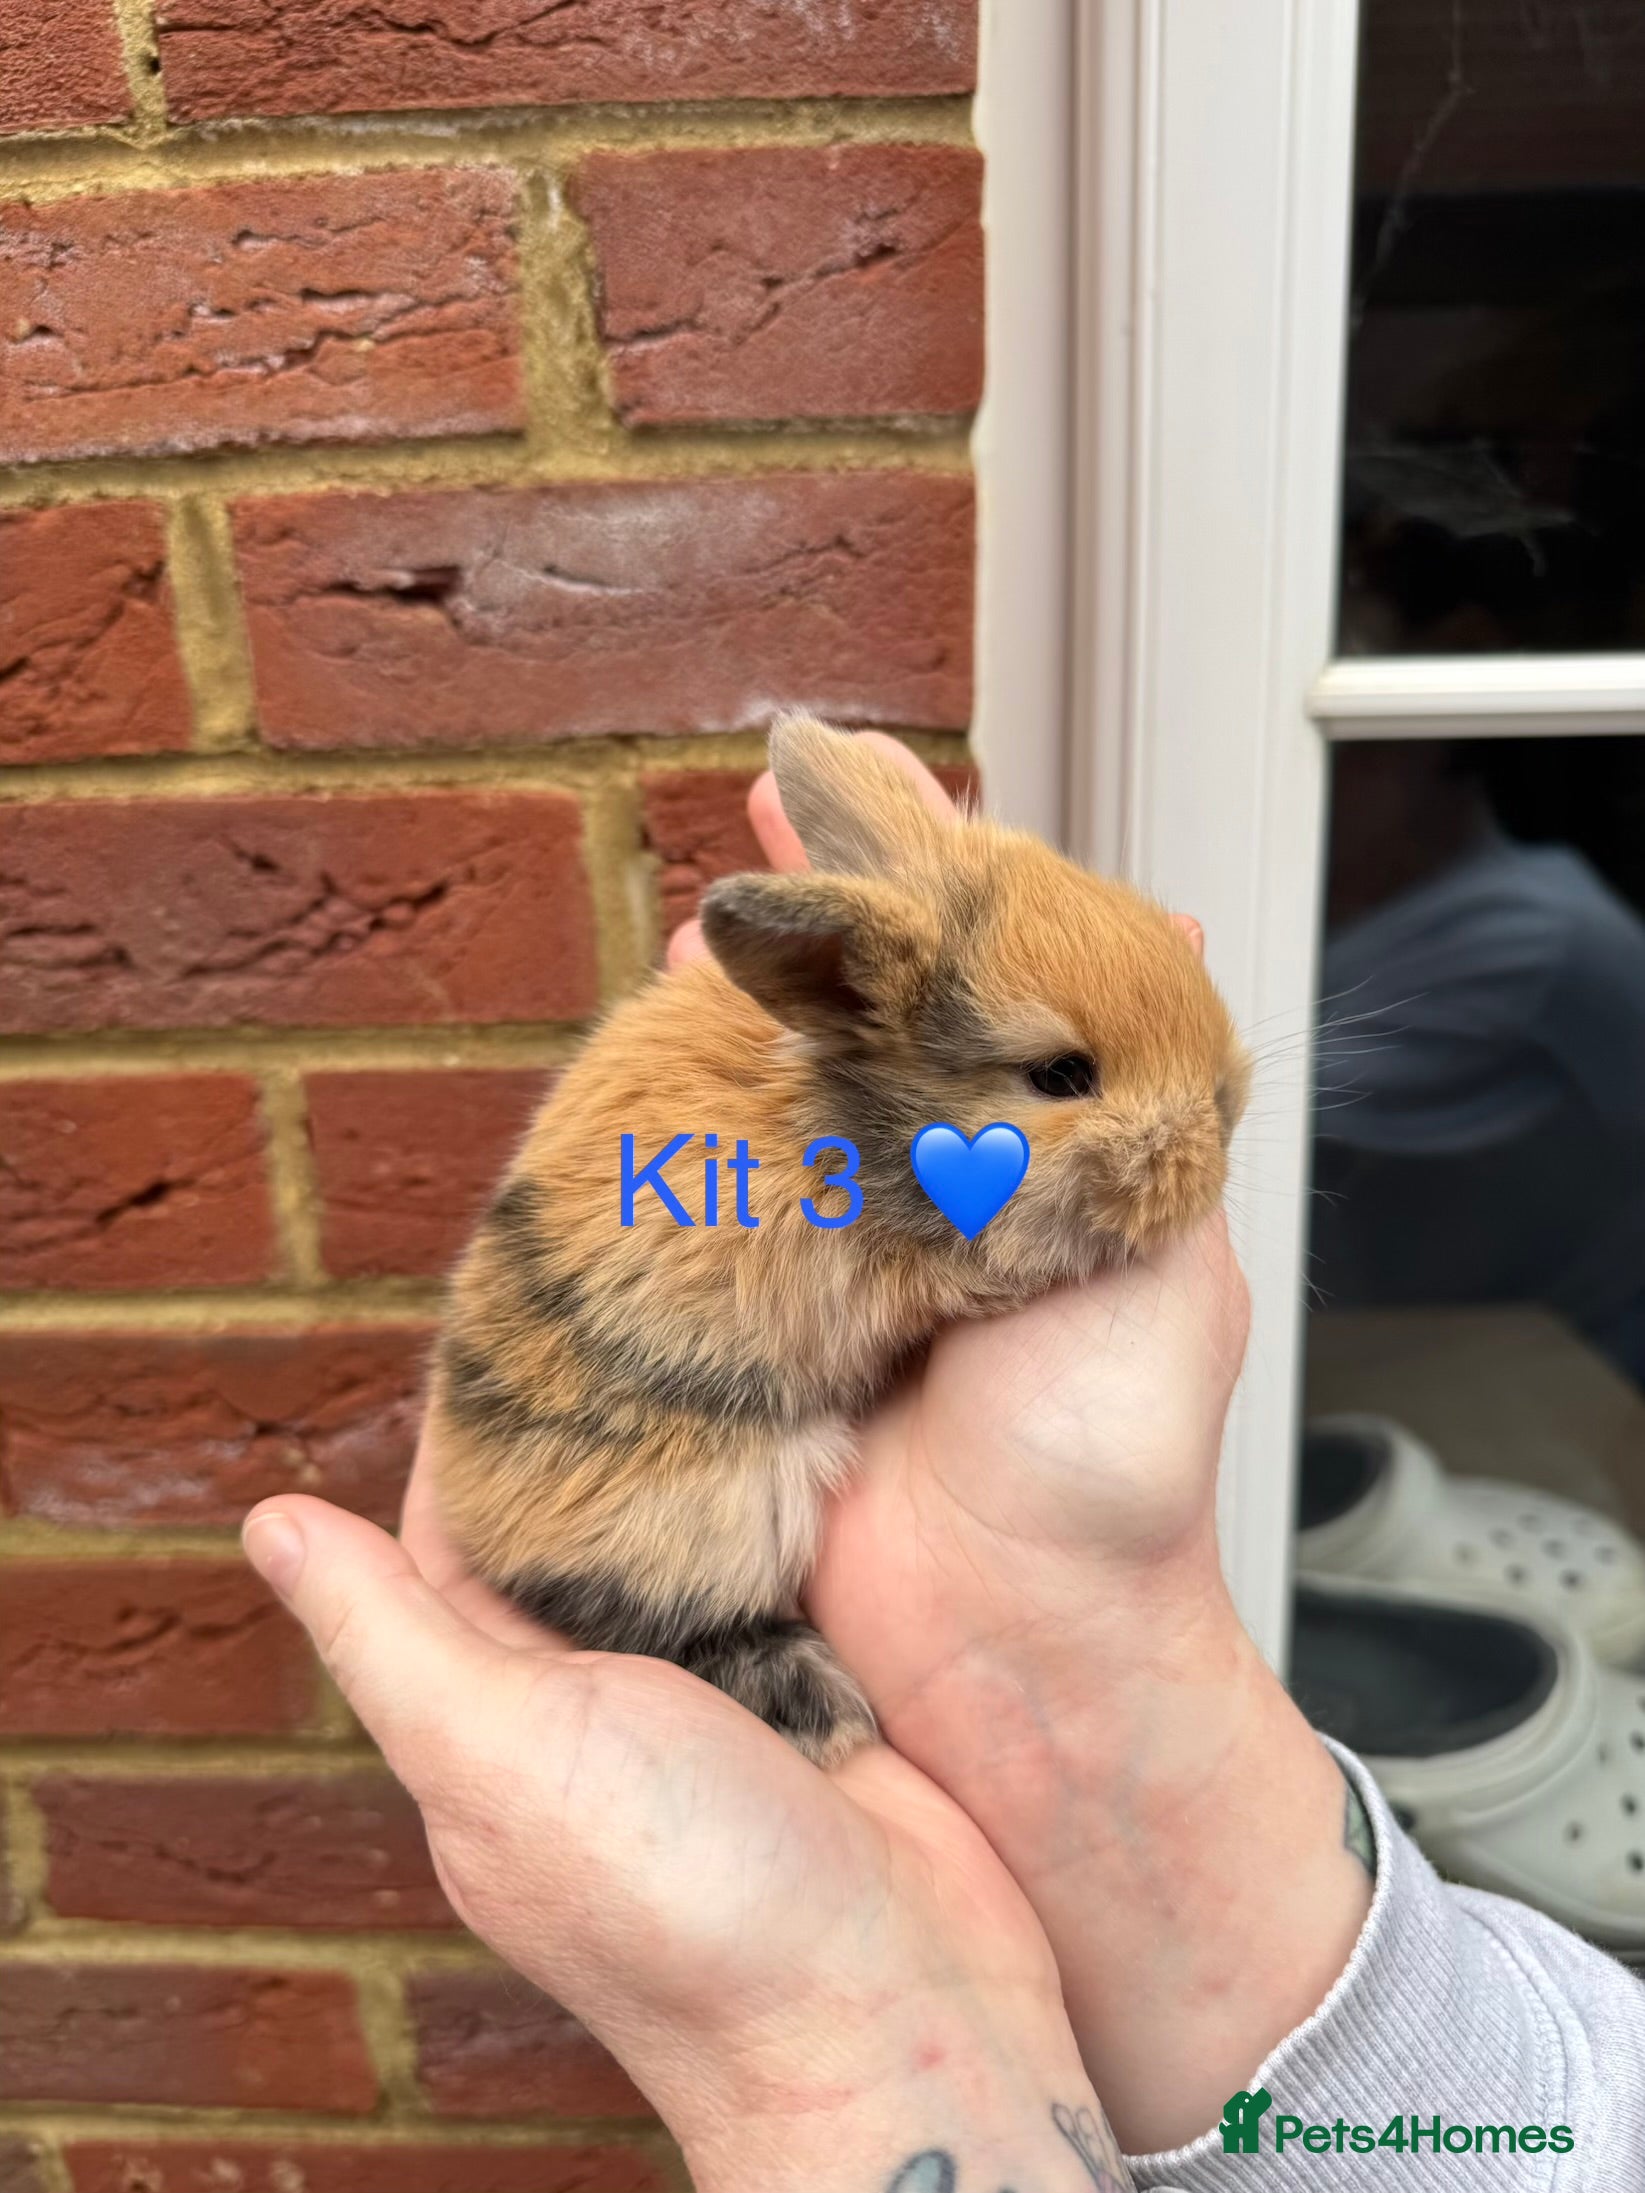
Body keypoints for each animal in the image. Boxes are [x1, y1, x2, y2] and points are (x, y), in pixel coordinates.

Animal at [427, 716, 1250, 1766]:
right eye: (1061, 1074)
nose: (1222, 1116)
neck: (868, 1117)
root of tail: (472, 1519)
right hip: (706, 1518)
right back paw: (826, 1717)